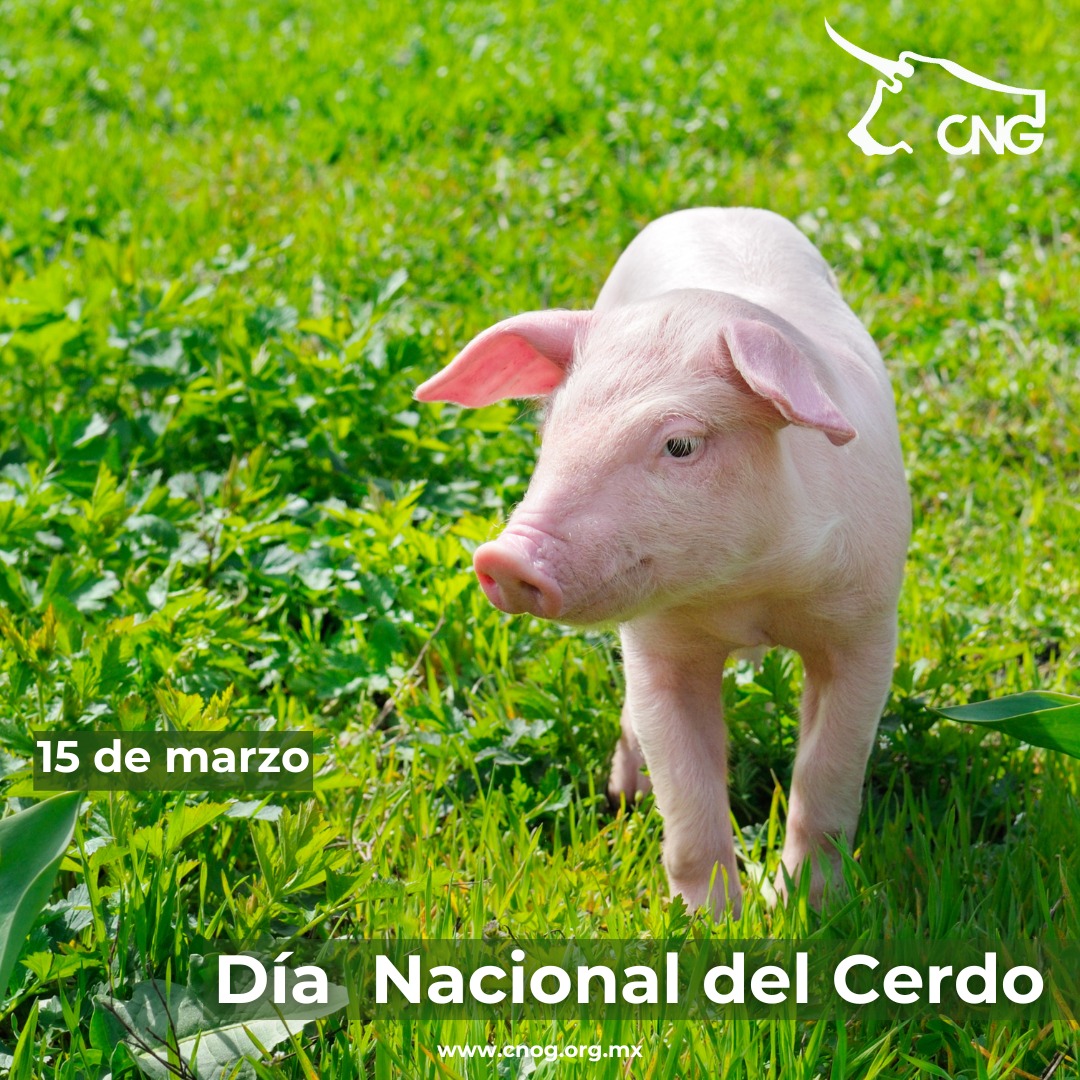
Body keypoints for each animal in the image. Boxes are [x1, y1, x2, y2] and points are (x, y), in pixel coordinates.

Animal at [415, 207, 911, 917]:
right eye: (551, 431)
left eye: (680, 444)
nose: (504, 556)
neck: (749, 593)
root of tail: (719, 209)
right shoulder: (658, 646)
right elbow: (685, 793)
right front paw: (711, 921)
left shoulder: (866, 624)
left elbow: (828, 775)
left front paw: (803, 909)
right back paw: (625, 795)